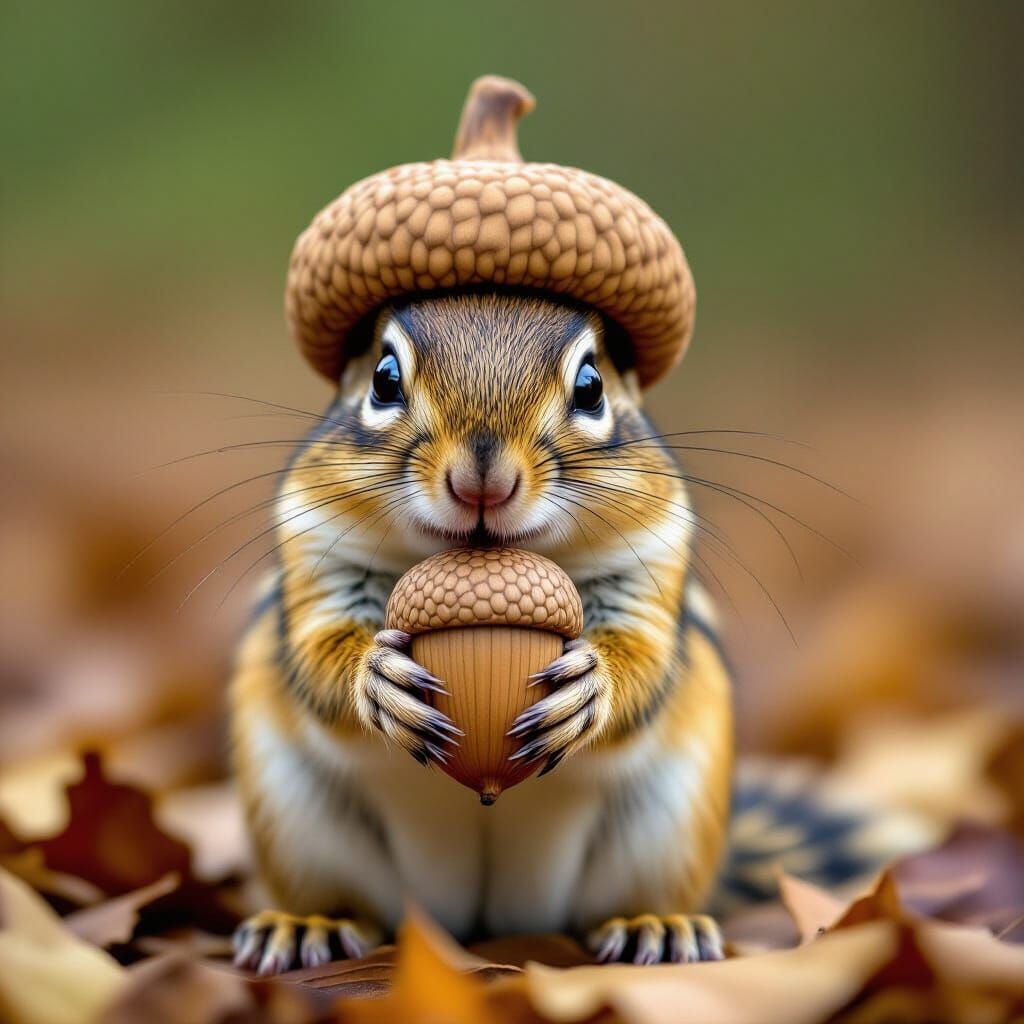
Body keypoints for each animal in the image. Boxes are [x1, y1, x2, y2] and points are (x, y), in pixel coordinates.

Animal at [229, 78, 916, 975]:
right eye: (382, 377)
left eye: (591, 385)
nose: (481, 476)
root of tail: (482, 922)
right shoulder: (317, 550)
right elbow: (317, 652)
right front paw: (374, 677)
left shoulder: (649, 560)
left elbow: (644, 660)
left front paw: (592, 685)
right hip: (300, 824)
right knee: (342, 898)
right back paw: (307, 923)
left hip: (666, 825)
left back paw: (656, 924)